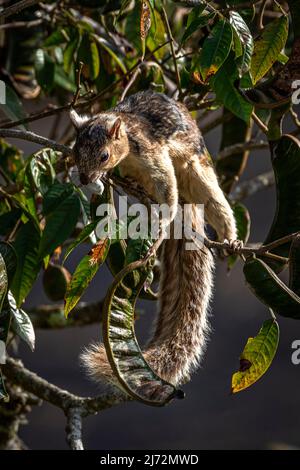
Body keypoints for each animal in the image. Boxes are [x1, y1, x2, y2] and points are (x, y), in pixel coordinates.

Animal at [69, 90, 237, 388]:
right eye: (76, 151)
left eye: (104, 155)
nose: (86, 178)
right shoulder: (132, 168)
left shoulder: (153, 154)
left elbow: (167, 189)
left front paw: (162, 228)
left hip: (196, 172)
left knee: (214, 202)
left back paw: (229, 239)